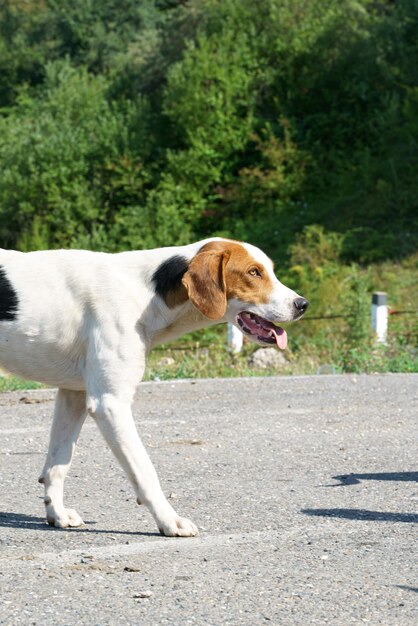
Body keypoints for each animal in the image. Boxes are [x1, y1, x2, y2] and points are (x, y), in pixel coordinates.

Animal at [0, 236, 306, 532]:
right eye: (254, 272)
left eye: (270, 270)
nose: (303, 304)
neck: (145, 293)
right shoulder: (110, 403)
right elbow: (145, 472)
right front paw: (169, 521)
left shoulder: (73, 394)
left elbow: (58, 463)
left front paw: (57, 513)